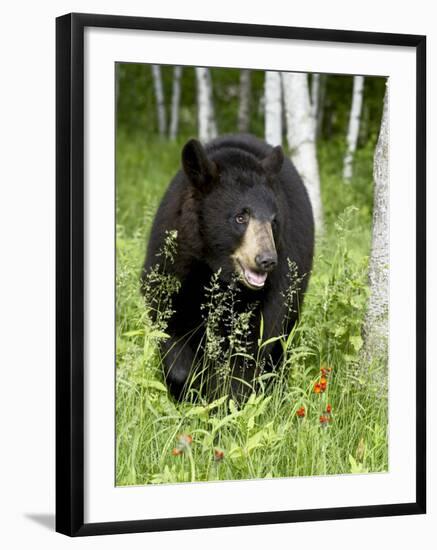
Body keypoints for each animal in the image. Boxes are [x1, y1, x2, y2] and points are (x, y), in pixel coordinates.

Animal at [143, 134, 314, 402]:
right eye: (240, 217)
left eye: (273, 221)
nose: (267, 260)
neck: (216, 270)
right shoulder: (174, 264)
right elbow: (169, 321)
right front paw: (188, 388)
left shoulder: (273, 289)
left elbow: (250, 348)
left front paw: (226, 400)